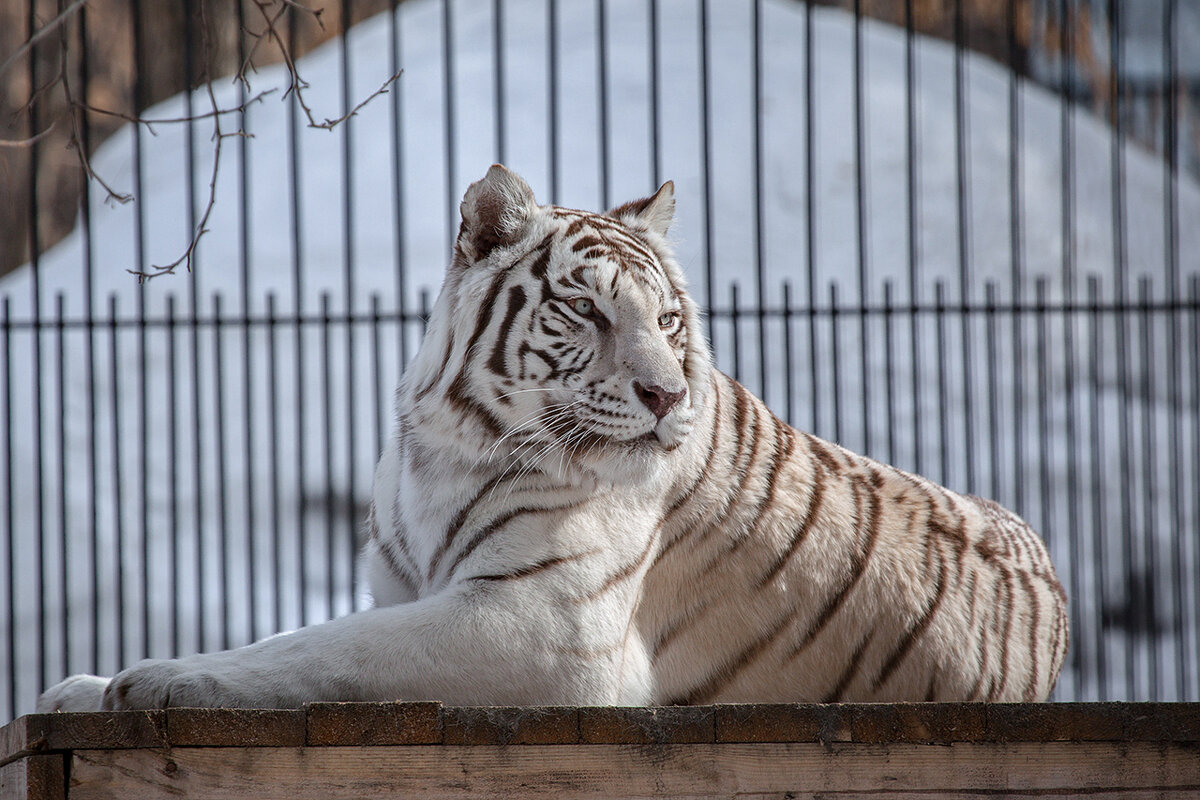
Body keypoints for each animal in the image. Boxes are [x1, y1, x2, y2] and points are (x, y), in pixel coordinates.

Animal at [39, 164, 1070, 714]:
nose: (666, 395)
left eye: (668, 319)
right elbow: (317, 637)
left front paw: (159, 678)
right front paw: (79, 688)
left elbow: (321, 647)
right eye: (586, 311)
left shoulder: (538, 623)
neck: (445, 447)